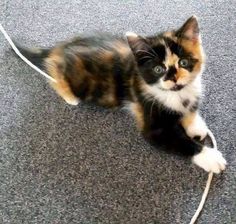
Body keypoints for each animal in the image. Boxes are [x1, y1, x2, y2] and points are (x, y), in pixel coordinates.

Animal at [16, 15, 227, 173]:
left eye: (183, 62)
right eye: (158, 69)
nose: (173, 79)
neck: (175, 94)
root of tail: (61, 47)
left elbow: (190, 108)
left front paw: (195, 125)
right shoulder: (150, 119)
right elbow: (180, 141)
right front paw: (209, 157)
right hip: (72, 76)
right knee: (52, 69)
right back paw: (69, 95)